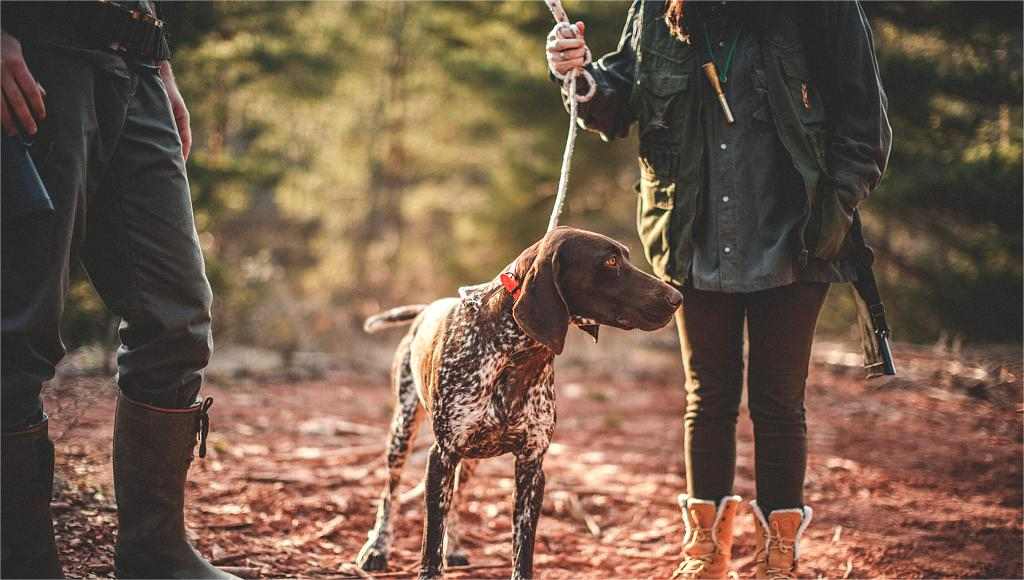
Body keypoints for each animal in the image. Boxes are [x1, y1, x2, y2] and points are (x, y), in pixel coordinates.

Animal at [352, 227, 679, 580]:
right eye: (610, 261)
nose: (677, 298)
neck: (515, 358)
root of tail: (427, 308)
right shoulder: (442, 456)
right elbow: (431, 543)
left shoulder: (531, 465)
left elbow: (523, 549)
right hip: (403, 432)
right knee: (390, 494)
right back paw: (377, 548)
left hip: (469, 460)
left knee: (458, 498)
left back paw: (454, 546)